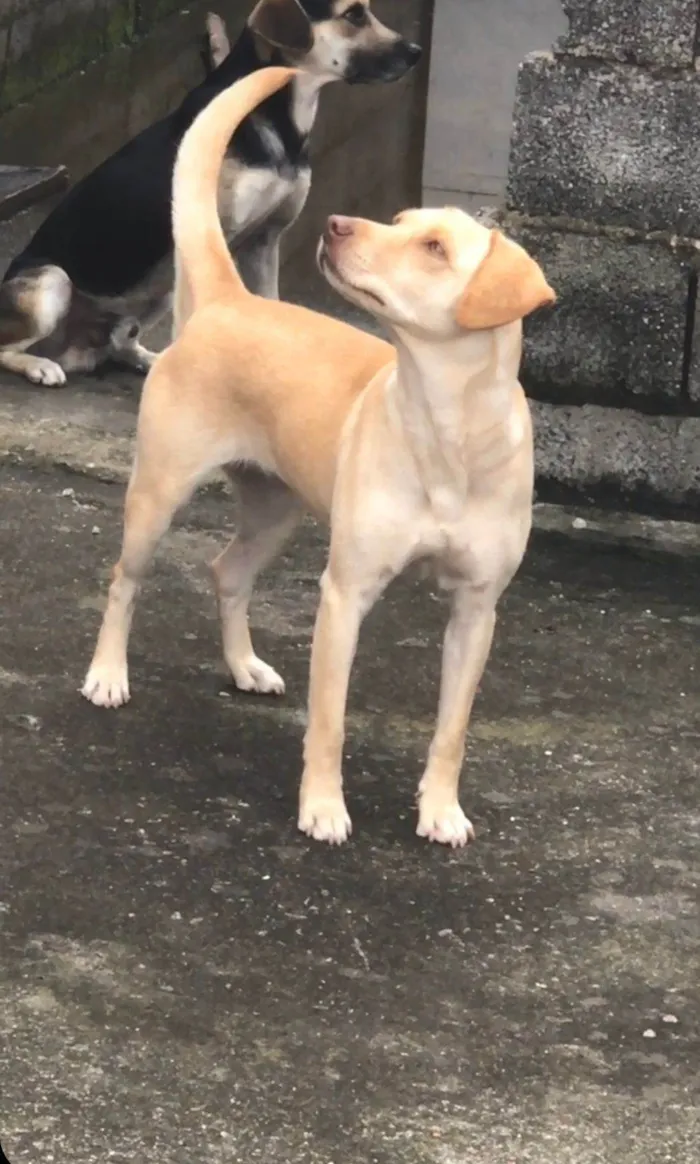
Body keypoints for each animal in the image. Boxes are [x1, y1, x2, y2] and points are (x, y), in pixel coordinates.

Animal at [0, 0, 414, 391]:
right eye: (354, 15)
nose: (417, 51)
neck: (274, 114)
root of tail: (71, 350)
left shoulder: (266, 239)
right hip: (53, 282)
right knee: (8, 347)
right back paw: (41, 365)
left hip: (152, 290)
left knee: (120, 342)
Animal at [82, 66, 554, 847]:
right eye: (397, 218)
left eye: (434, 247)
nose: (335, 224)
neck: (444, 426)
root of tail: (230, 300)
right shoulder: (344, 596)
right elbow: (329, 721)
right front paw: (324, 809)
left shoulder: (477, 611)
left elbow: (451, 730)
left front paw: (440, 810)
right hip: (157, 495)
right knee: (125, 581)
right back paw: (108, 676)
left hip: (276, 511)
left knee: (227, 572)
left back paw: (243, 666)